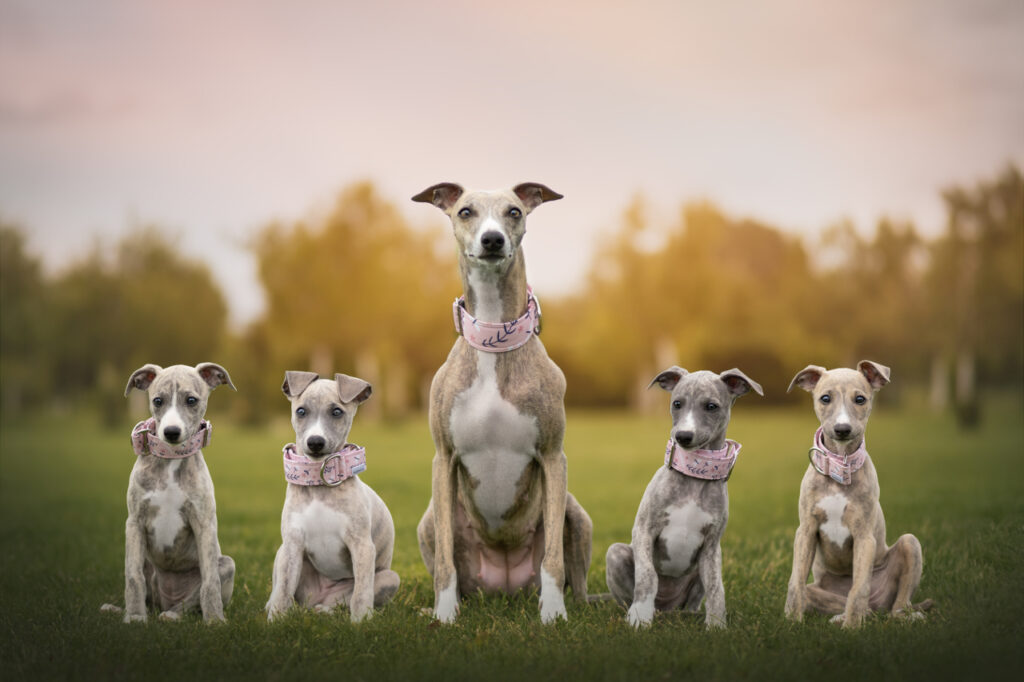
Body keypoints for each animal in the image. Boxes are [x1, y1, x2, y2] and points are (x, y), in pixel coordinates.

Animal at [100, 360, 235, 622]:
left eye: (191, 400)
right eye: (157, 400)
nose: (171, 432)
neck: (171, 459)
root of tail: (166, 599)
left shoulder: (204, 523)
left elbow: (209, 582)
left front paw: (214, 619)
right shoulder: (134, 522)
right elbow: (133, 577)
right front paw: (134, 617)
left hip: (227, 564)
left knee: (191, 600)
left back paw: (173, 615)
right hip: (146, 561)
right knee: (144, 588)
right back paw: (119, 609)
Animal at [264, 372, 399, 622]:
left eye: (337, 411)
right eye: (301, 411)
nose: (315, 442)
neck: (319, 486)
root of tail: (315, 600)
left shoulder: (362, 545)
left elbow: (361, 594)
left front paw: (361, 623)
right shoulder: (292, 544)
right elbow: (283, 590)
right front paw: (275, 620)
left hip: (388, 578)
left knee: (343, 602)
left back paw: (325, 610)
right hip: (282, 553)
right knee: (285, 593)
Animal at [411, 180, 598, 622]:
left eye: (514, 211)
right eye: (465, 211)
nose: (492, 240)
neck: (494, 340)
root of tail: (505, 589)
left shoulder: (553, 457)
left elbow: (553, 560)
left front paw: (553, 614)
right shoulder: (443, 459)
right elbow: (444, 563)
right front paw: (444, 614)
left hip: (576, 515)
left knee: (575, 578)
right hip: (428, 522)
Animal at [606, 366, 761, 626]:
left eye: (711, 406)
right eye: (677, 403)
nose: (683, 436)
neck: (693, 476)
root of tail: (667, 609)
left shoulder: (711, 547)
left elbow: (716, 588)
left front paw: (717, 625)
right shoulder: (644, 530)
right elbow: (647, 576)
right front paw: (640, 616)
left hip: (700, 570)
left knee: (695, 600)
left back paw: (690, 614)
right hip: (616, 554)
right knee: (628, 595)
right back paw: (638, 610)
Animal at [778, 360, 933, 626]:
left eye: (860, 399)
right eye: (825, 398)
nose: (842, 429)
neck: (840, 467)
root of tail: (879, 606)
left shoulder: (864, 536)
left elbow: (859, 586)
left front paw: (852, 628)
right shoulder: (806, 531)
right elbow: (795, 582)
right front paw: (791, 621)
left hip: (910, 544)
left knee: (896, 605)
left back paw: (896, 615)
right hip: (819, 590)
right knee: (820, 595)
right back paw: (844, 616)